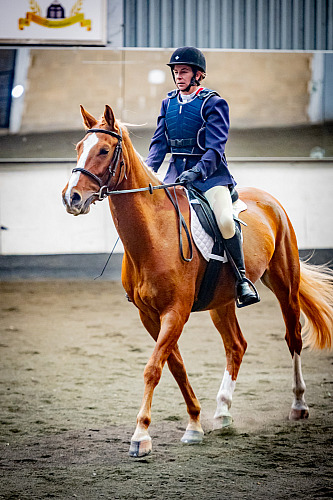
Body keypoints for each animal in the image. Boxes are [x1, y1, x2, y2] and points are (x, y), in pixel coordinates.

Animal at [62, 104, 332, 458]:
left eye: (104, 150)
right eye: (79, 147)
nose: (71, 198)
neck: (154, 235)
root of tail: (268, 199)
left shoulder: (175, 312)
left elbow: (153, 368)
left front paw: (140, 436)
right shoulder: (150, 316)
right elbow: (174, 366)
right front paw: (194, 424)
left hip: (285, 286)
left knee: (293, 339)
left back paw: (298, 405)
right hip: (223, 302)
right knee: (236, 346)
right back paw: (223, 412)